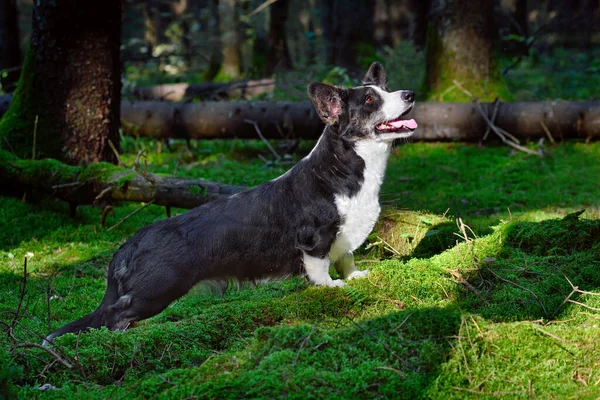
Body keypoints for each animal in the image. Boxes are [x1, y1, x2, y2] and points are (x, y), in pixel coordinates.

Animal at [47, 61, 418, 340]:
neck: (347, 169)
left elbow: (347, 257)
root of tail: (128, 245)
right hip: (156, 289)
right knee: (114, 314)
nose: (410, 93)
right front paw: (332, 287)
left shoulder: (343, 241)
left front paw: (354, 276)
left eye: (386, 92)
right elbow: (321, 270)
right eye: (369, 100)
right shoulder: (315, 241)